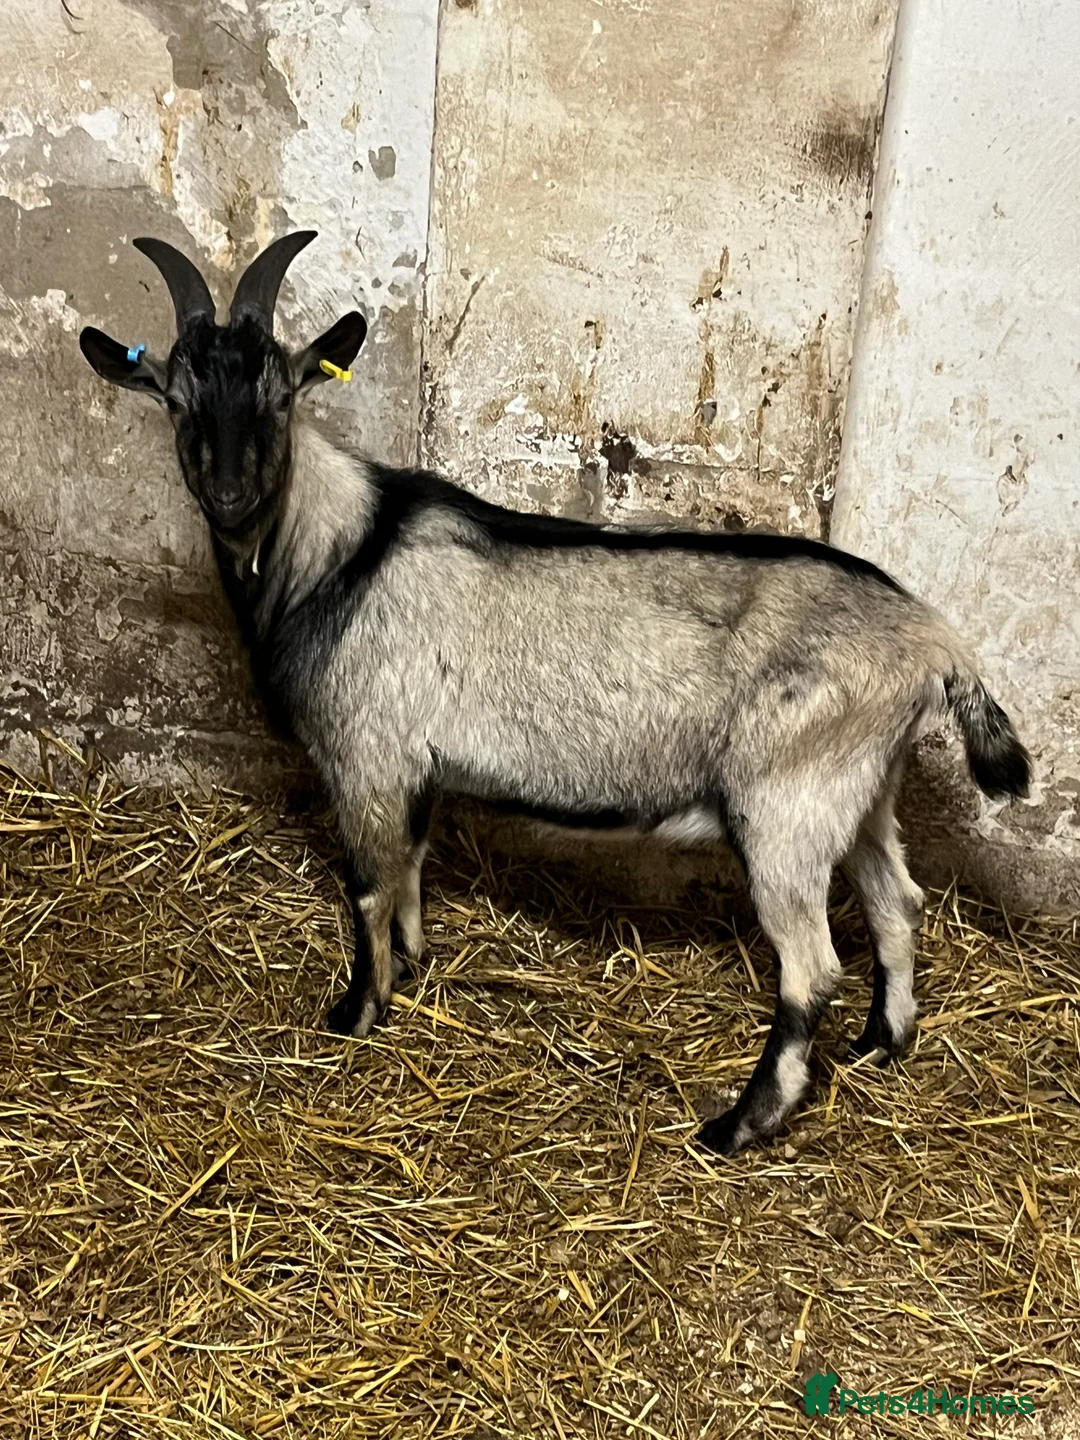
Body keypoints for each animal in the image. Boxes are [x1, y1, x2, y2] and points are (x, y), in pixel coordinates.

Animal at [79, 232, 1031, 1155]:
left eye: (279, 396)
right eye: (175, 399)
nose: (230, 495)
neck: (341, 550)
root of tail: (934, 641)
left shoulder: (366, 755)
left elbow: (369, 884)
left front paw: (355, 1012)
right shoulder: (415, 765)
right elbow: (412, 866)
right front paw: (412, 966)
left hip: (787, 805)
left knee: (811, 969)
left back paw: (739, 1126)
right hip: (860, 790)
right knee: (897, 904)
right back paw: (881, 1043)